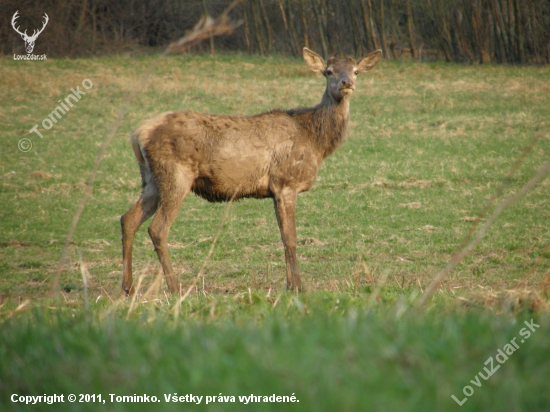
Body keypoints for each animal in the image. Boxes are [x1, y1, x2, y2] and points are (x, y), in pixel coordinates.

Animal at [120, 47, 382, 296]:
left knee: (128, 219)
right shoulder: (286, 182)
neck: (315, 140)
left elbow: (283, 237)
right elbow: (291, 238)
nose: (346, 83)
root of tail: (139, 134)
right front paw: (298, 286)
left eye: (355, 71)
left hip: (151, 180)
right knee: (157, 228)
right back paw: (175, 288)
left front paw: (290, 284)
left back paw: (128, 287)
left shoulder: (275, 190)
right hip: (176, 174)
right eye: (328, 71)